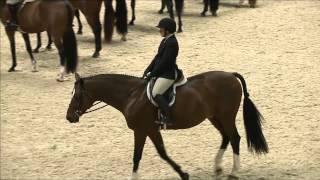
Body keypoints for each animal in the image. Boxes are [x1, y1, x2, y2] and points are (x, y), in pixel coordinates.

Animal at [65, 71, 268, 179]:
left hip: (226, 116)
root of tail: (231, 75)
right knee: (226, 137)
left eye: (77, 96)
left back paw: (233, 172)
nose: (69, 117)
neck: (131, 95)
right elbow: (159, 153)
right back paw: (217, 167)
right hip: (214, 117)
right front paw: (182, 173)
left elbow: (140, 156)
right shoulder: (150, 130)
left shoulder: (142, 130)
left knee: (234, 138)